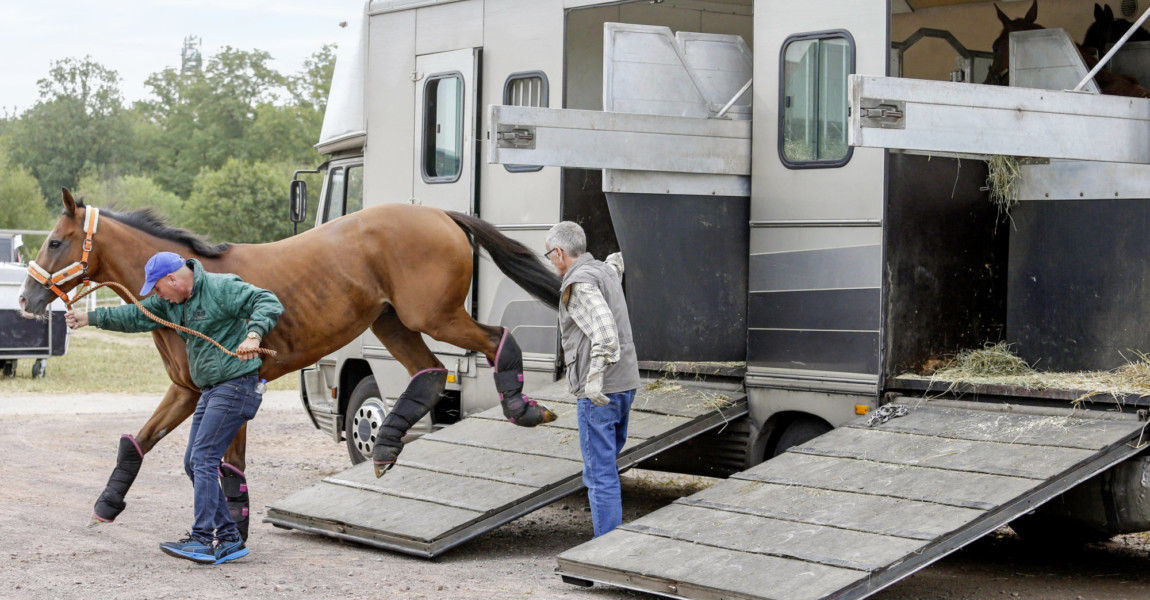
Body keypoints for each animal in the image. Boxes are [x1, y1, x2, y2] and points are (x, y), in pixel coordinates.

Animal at [15, 189, 558, 535]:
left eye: (56, 241)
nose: (26, 298)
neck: (187, 289)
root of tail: (442, 215)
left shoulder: (223, 395)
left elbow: (225, 466)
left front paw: (229, 533)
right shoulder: (189, 392)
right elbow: (140, 444)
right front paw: (107, 506)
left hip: (434, 316)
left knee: (494, 341)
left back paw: (523, 409)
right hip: (393, 323)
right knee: (427, 374)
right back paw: (384, 447)